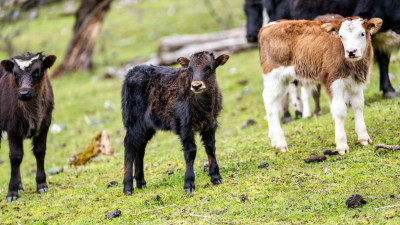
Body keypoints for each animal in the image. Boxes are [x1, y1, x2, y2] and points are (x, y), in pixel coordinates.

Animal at [0, 52, 56, 202]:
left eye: (37, 71)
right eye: (15, 74)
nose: (24, 93)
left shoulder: (45, 125)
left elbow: (40, 151)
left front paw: (41, 184)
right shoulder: (12, 128)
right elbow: (15, 156)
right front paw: (12, 191)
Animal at [258, 16, 382, 154]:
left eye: (362, 33)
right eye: (341, 36)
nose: (351, 51)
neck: (353, 66)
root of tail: (268, 26)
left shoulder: (356, 82)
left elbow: (359, 106)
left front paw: (364, 138)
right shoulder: (333, 81)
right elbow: (340, 111)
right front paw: (341, 145)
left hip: (282, 80)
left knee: (272, 101)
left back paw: (274, 139)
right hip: (274, 76)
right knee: (270, 103)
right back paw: (280, 143)